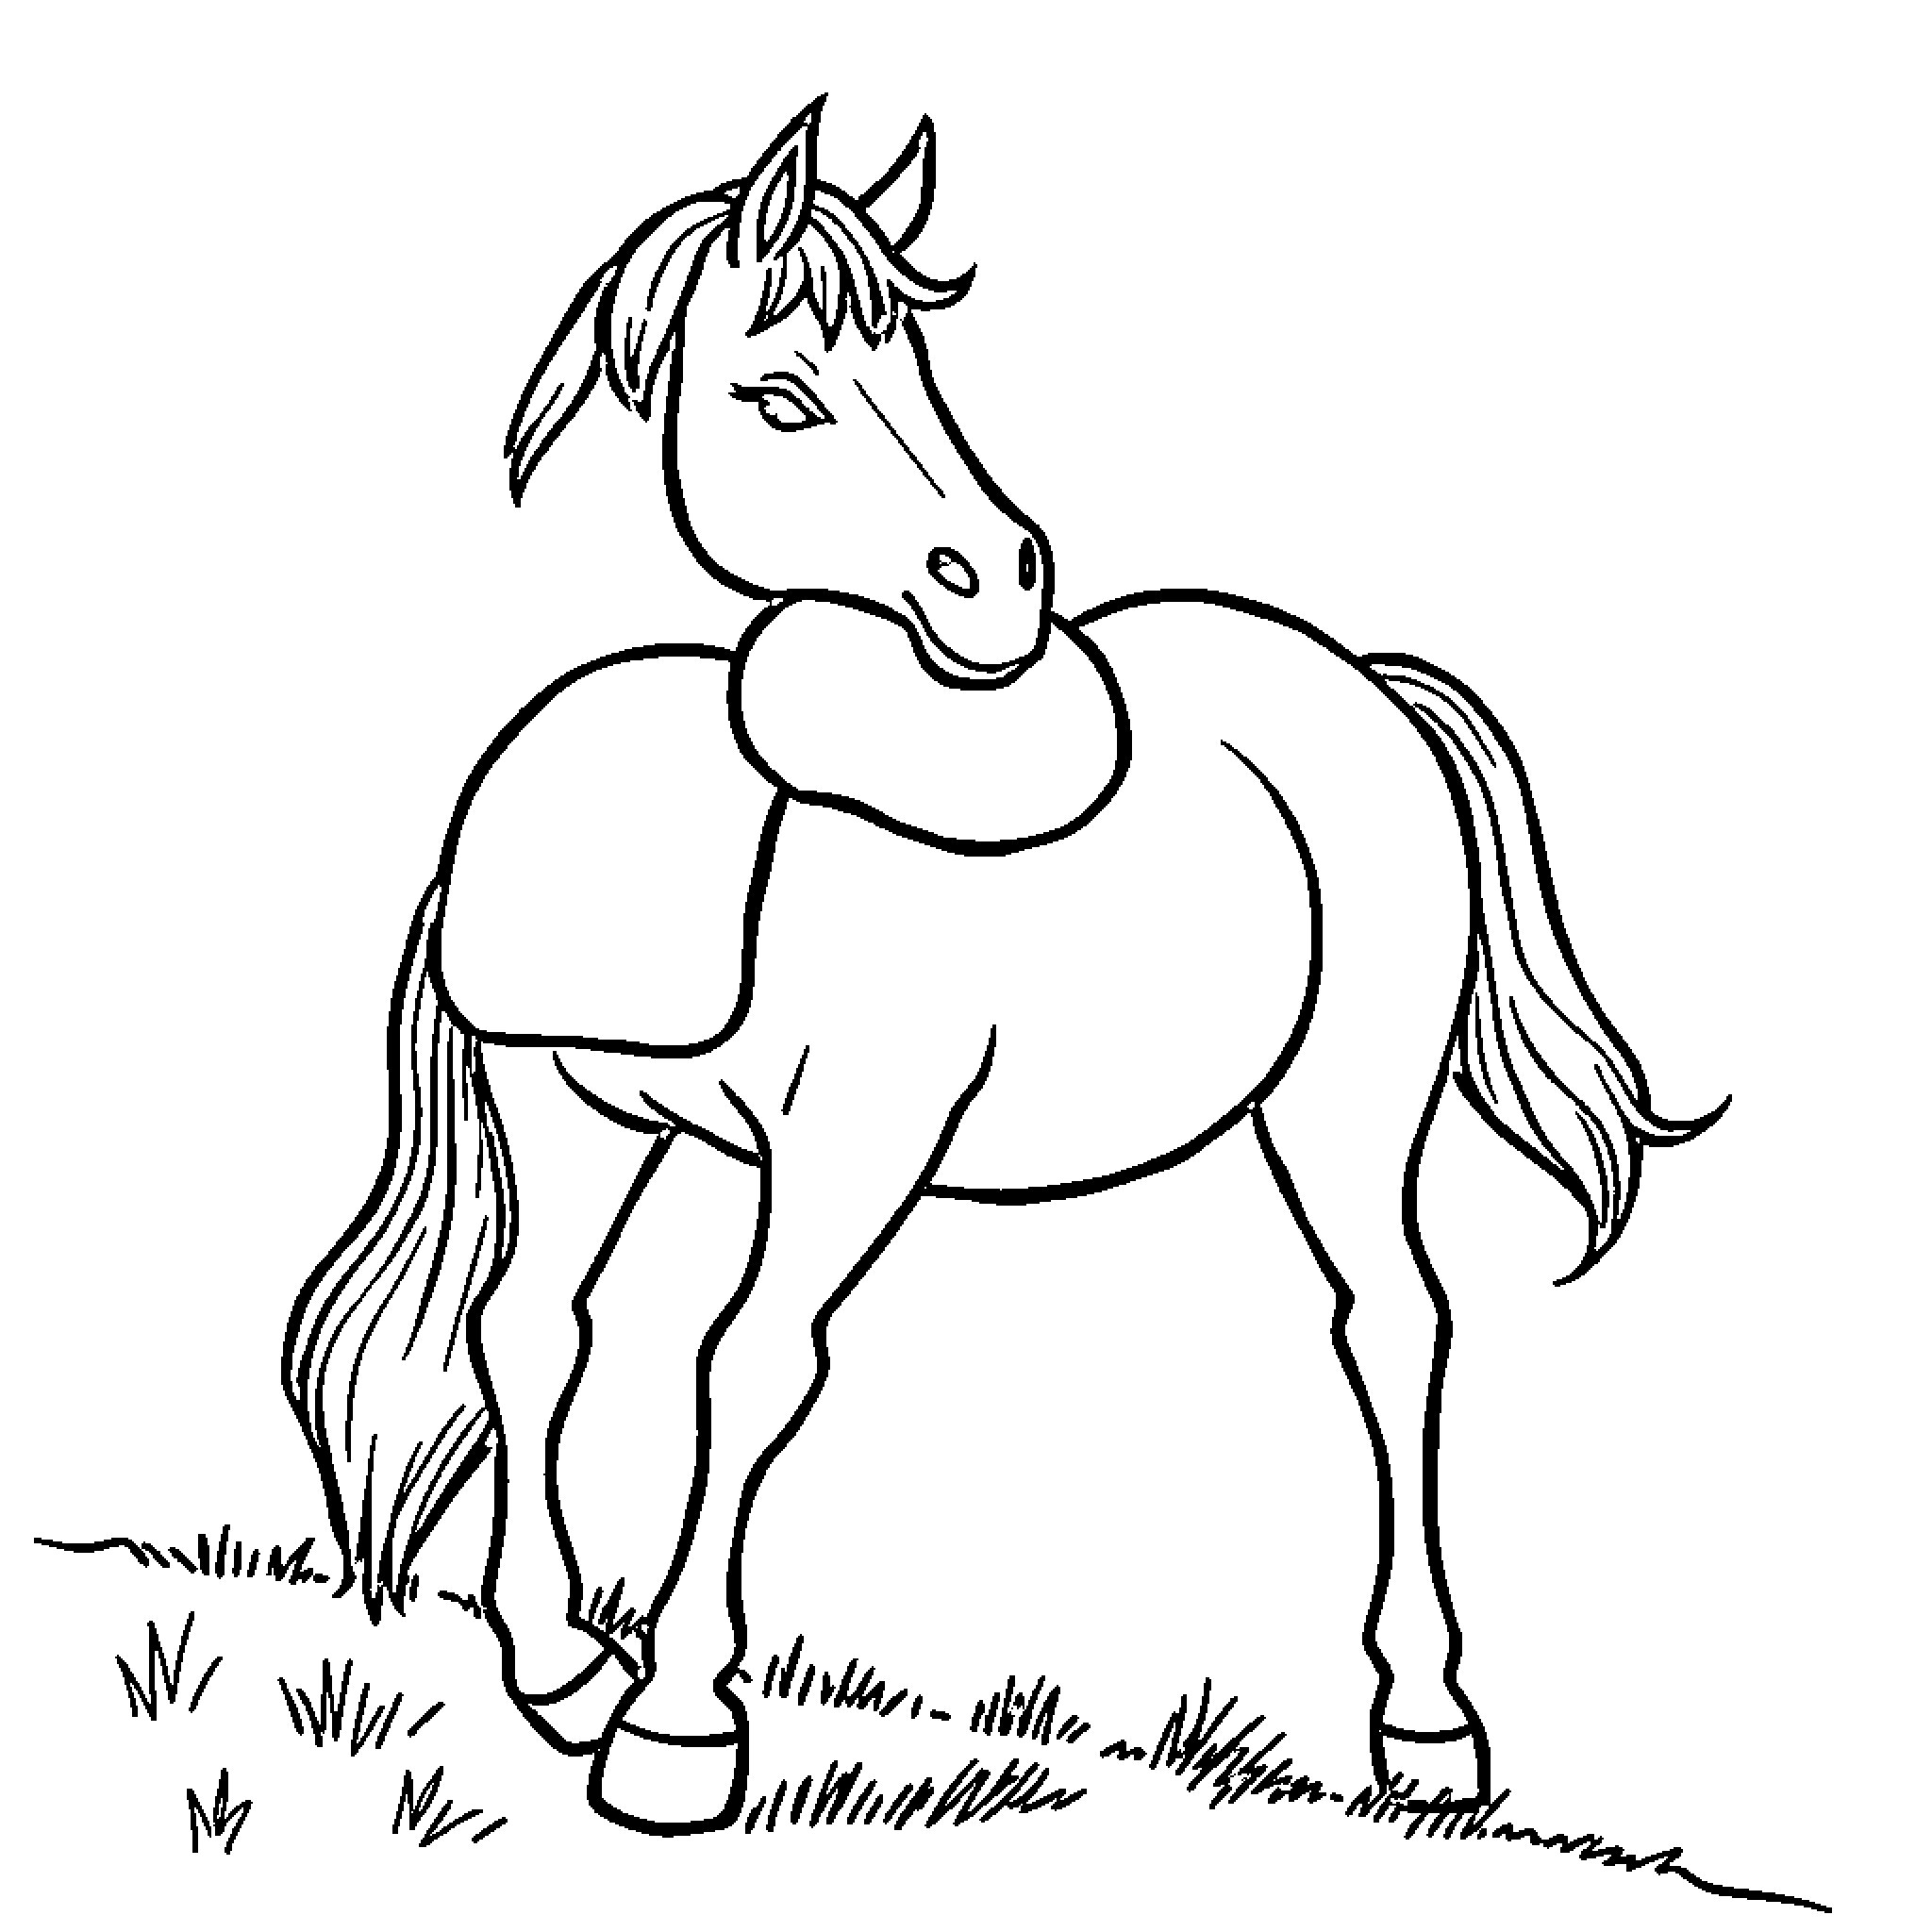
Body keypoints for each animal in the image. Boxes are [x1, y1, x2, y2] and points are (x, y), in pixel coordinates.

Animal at [284, 99, 1720, 1836]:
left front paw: (676, 1726)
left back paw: (1427, 1721)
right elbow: (531, 1336)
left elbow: (746, 1364)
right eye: (781, 393)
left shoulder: (856, 1144)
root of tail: (1360, 684)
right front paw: (564, 1669)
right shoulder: (575, 1107)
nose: (1001, 576)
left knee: (1392, 1322)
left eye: (920, 368)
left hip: (1347, 1101)